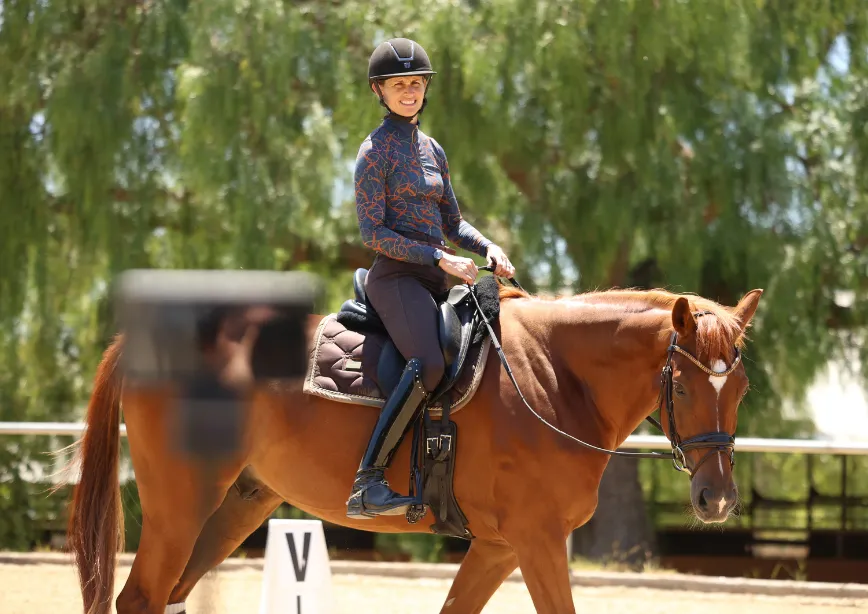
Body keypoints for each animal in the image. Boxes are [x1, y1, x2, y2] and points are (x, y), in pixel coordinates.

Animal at [65, 275, 763, 614]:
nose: (718, 499)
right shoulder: (536, 539)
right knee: (140, 599)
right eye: (683, 383)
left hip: (238, 503)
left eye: (742, 385)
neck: (554, 377)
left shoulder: (500, 546)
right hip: (180, 506)